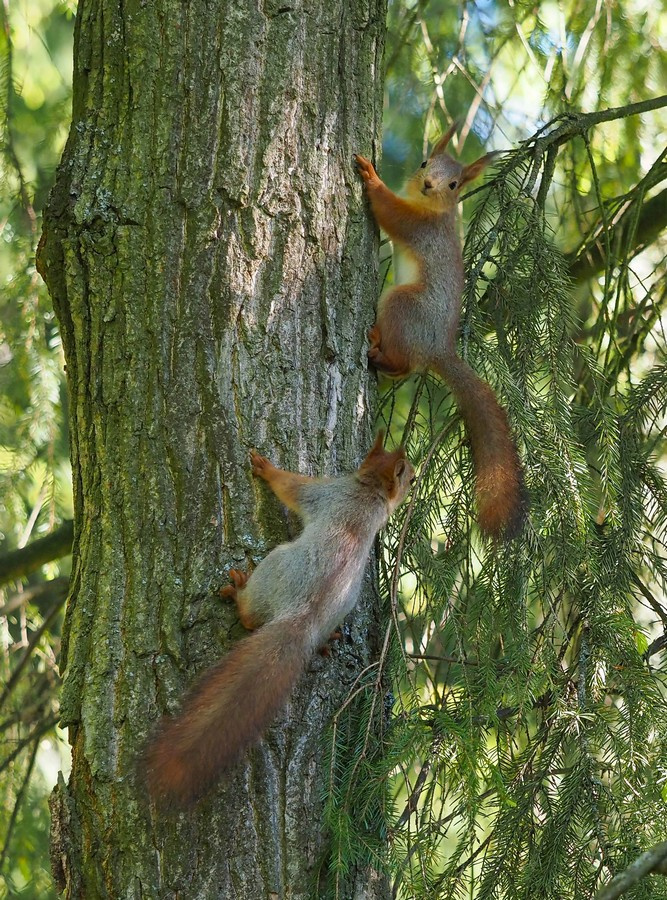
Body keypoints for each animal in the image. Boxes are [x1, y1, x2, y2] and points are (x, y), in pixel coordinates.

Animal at [143, 433, 414, 807]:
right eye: (411, 479)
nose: (416, 484)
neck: (367, 491)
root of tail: (301, 618)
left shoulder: (324, 493)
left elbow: (291, 487)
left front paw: (266, 469)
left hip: (273, 567)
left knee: (249, 618)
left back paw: (239, 593)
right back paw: (327, 640)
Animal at [355, 122, 526, 539]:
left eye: (454, 185)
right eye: (423, 162)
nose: (429, 184)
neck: (432, 209)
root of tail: (439, 348)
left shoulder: (421, 228)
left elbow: (391, 214)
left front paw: (372, 177)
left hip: (402, 304)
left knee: (405, 363)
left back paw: (378, 350)